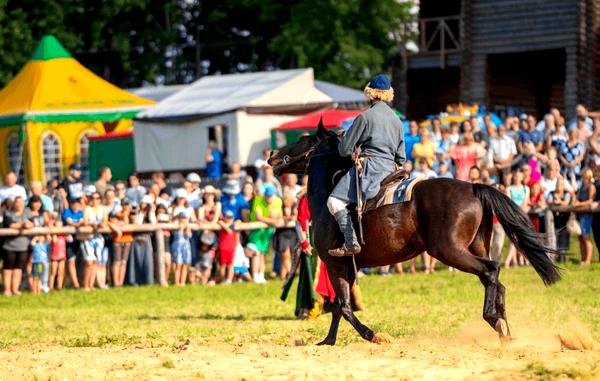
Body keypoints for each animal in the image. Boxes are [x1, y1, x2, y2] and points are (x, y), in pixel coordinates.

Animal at [268, 121, 564, 344]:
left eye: (302, 140)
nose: (271, 154)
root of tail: (472, 187)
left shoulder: (335, 263)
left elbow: (343, 306)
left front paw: (372, 335)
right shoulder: (347, 268)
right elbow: (341, 307)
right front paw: (328, 341)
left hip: (449, 251)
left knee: (491, 270)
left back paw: (493, 319)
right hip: (474, 247)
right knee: (495, 280)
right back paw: (504, 329)